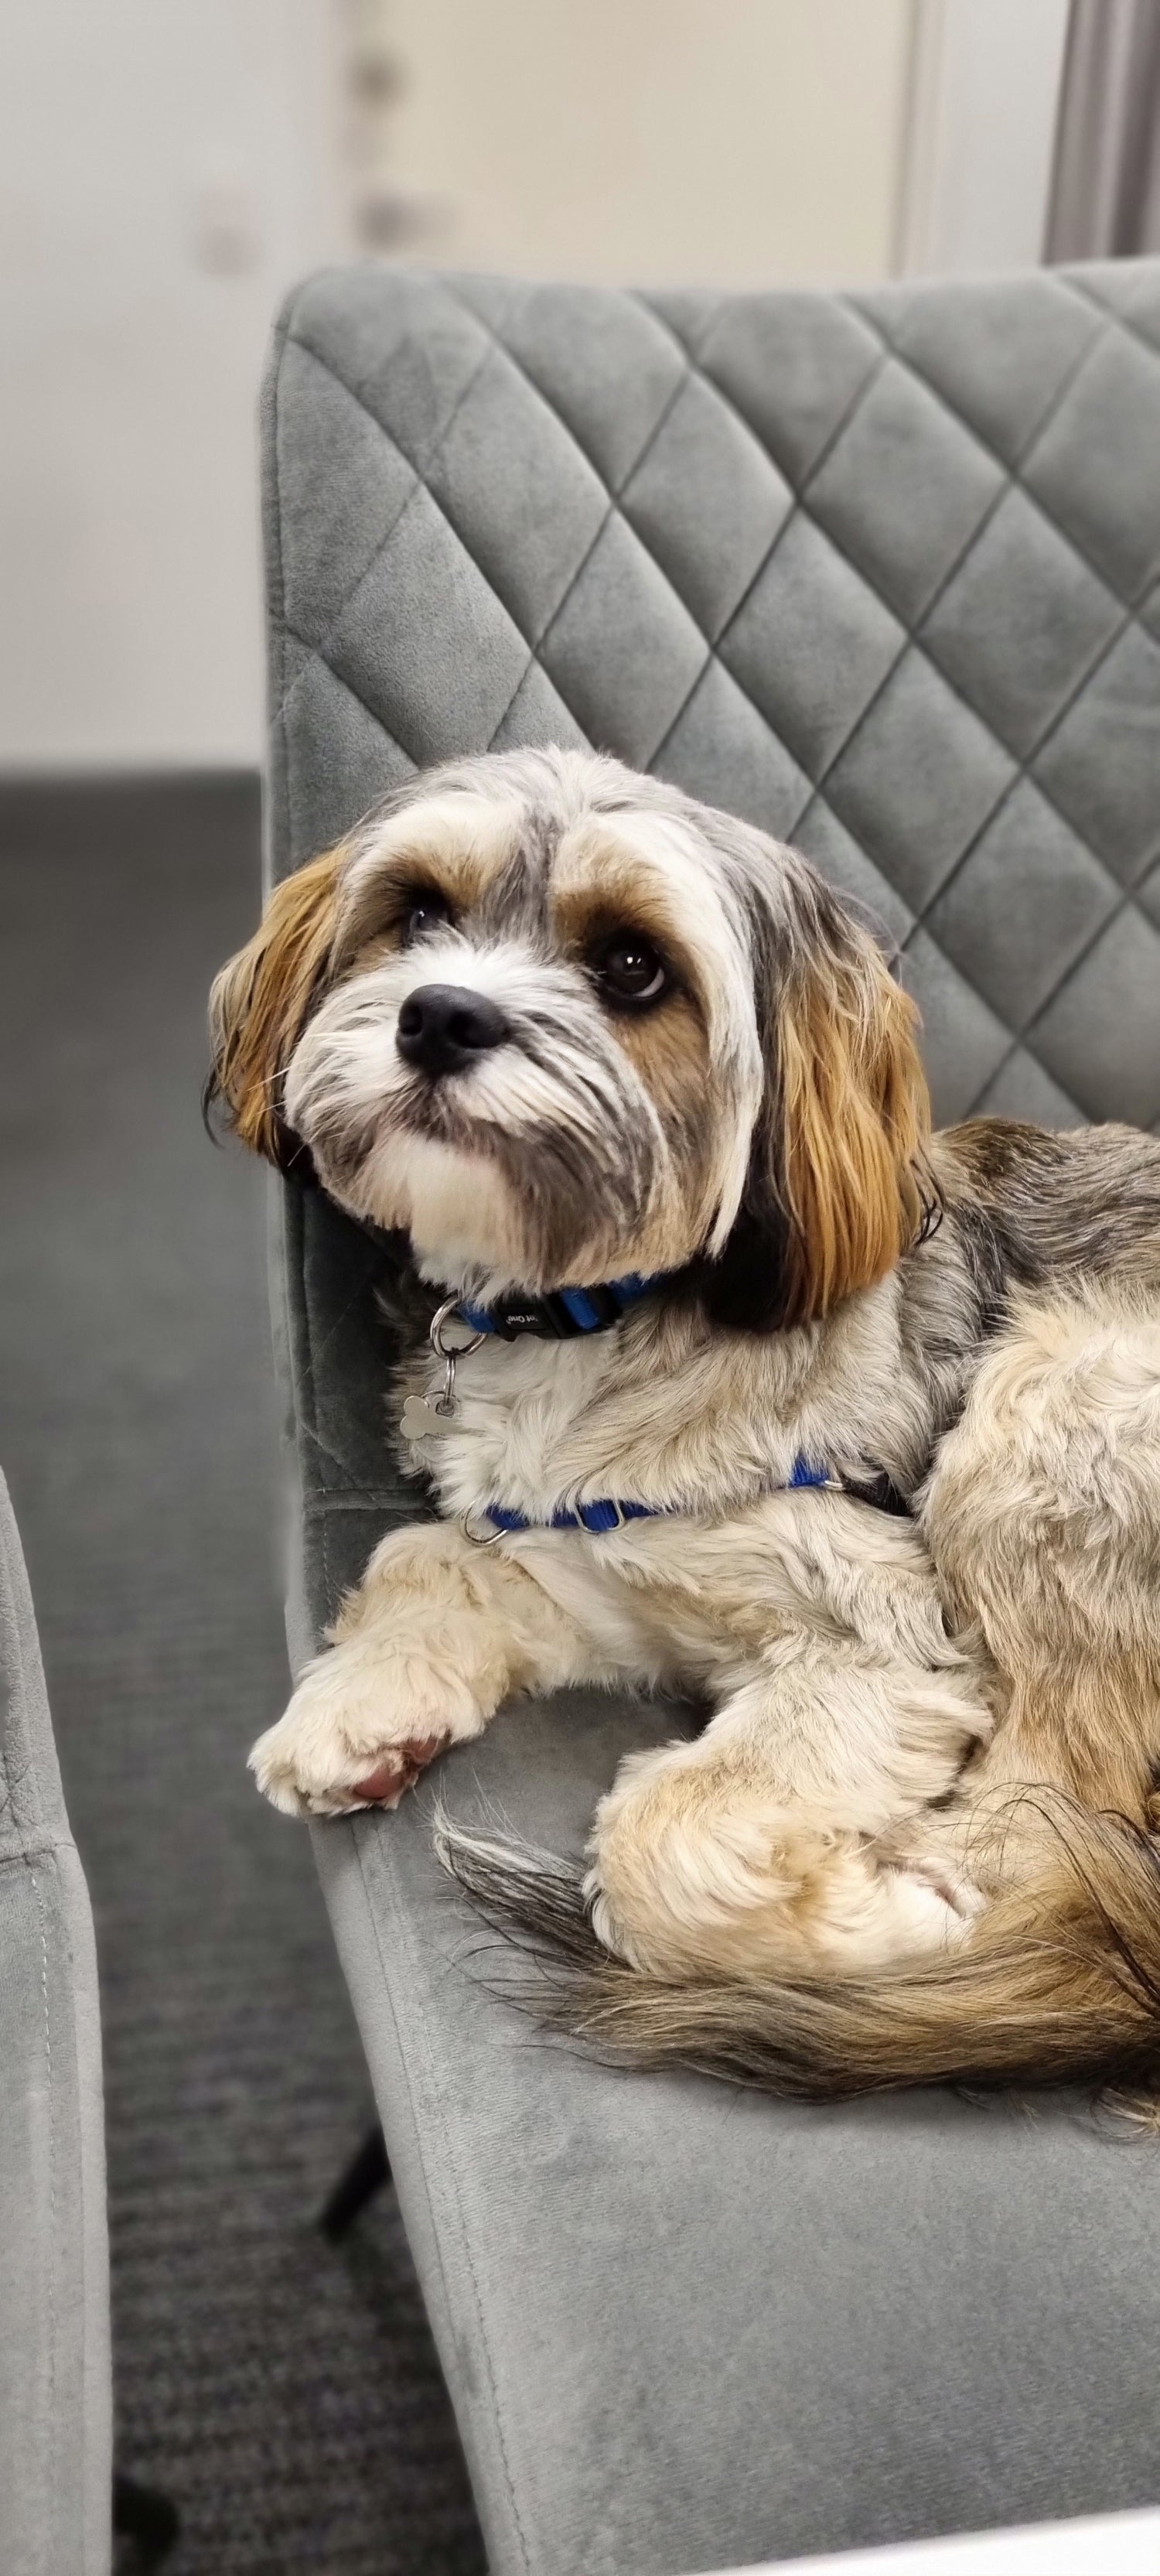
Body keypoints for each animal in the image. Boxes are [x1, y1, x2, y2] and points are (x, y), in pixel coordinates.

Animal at [210, 736, 1160, 2102]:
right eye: (420, 913)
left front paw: (878, 1926)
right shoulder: (590, 1564)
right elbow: (423, 1557)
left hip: (1055, 1397)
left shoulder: (882, 1634)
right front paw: (363, 1704)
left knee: (1058, 1810)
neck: (583, 1320)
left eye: (631, 966)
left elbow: (665, 1833)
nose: (441, 1013)